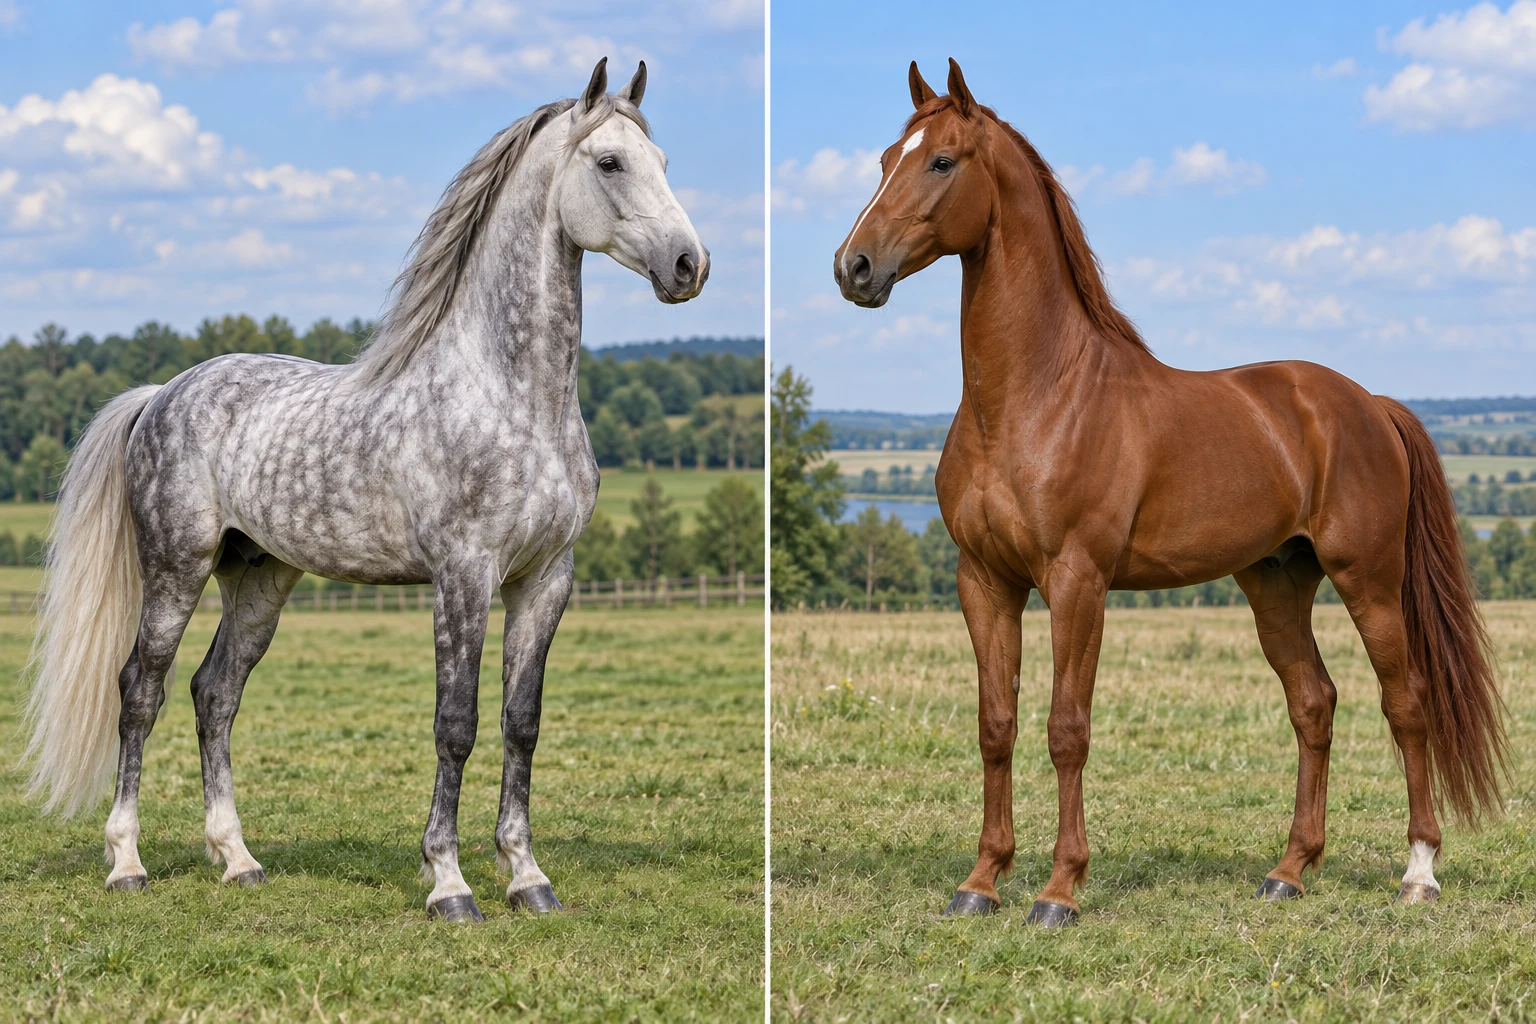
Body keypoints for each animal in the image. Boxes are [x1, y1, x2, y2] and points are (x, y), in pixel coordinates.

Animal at [23, 58, 709, 923]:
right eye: (611, 162)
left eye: (666, 163)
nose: (690, 265)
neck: (512, 395)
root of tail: (162, 393)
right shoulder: (463, 575)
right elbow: (457, 723)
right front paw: (449, 883)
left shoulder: (546, 579)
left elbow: (521, 723)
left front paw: (526, 877)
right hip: (176, 569)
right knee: (140, 690)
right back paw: (127, 863)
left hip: (261, 578)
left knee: (215, 693)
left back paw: (238, 860)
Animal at [832, 59, 1506, 927]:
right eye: (888, 159)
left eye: (942, 161)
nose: (853, 268)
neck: (1034, 396)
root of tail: (1367, 403)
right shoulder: (984, 580)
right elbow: (995, 724)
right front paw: (981, 882)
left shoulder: (1078, 582)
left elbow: (1067, 727)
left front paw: (1059, 890)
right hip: (1276, 582)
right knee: (1314, 703)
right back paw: (1289, 869)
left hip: (1370, 580)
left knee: (1407, 702)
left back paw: (1418, 871)